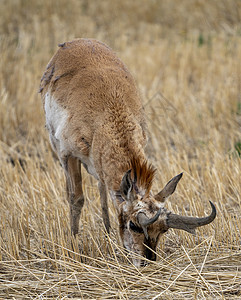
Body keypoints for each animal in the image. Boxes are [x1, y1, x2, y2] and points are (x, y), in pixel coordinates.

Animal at [39, 38, 217, 266]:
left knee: (102, 188)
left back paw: (107, 232)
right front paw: (73, 245)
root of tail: (77, 42)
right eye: (134, 225)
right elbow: (76, 198)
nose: (147, 262)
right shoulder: (68, 154)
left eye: (163, 230)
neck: (107, 116)